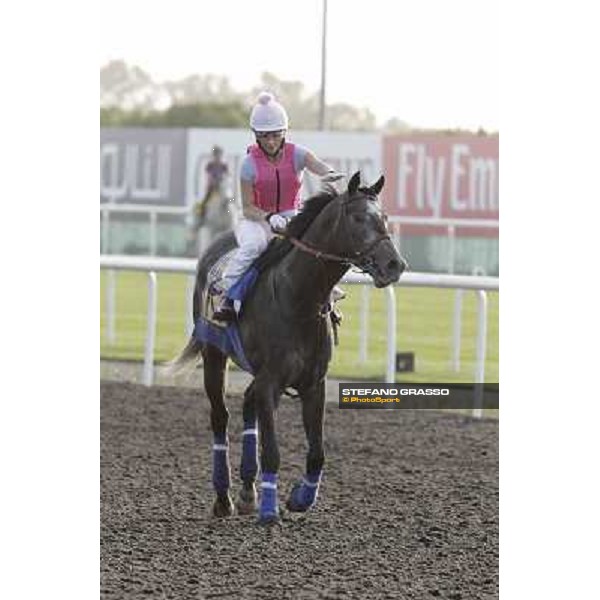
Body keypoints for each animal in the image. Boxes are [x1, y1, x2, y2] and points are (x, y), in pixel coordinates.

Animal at [173, 171, 408, 524]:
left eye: (385, 218)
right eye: (357, 218)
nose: (395, 264)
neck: (299, 299)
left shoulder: (313, 383)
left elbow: (318, 453)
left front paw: (301, 497)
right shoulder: (272, 381)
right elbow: (272, 452)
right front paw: (270, 510)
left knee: (248, 403)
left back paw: (247, 491)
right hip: (214, 356)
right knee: (220, 417)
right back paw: (224, 498)